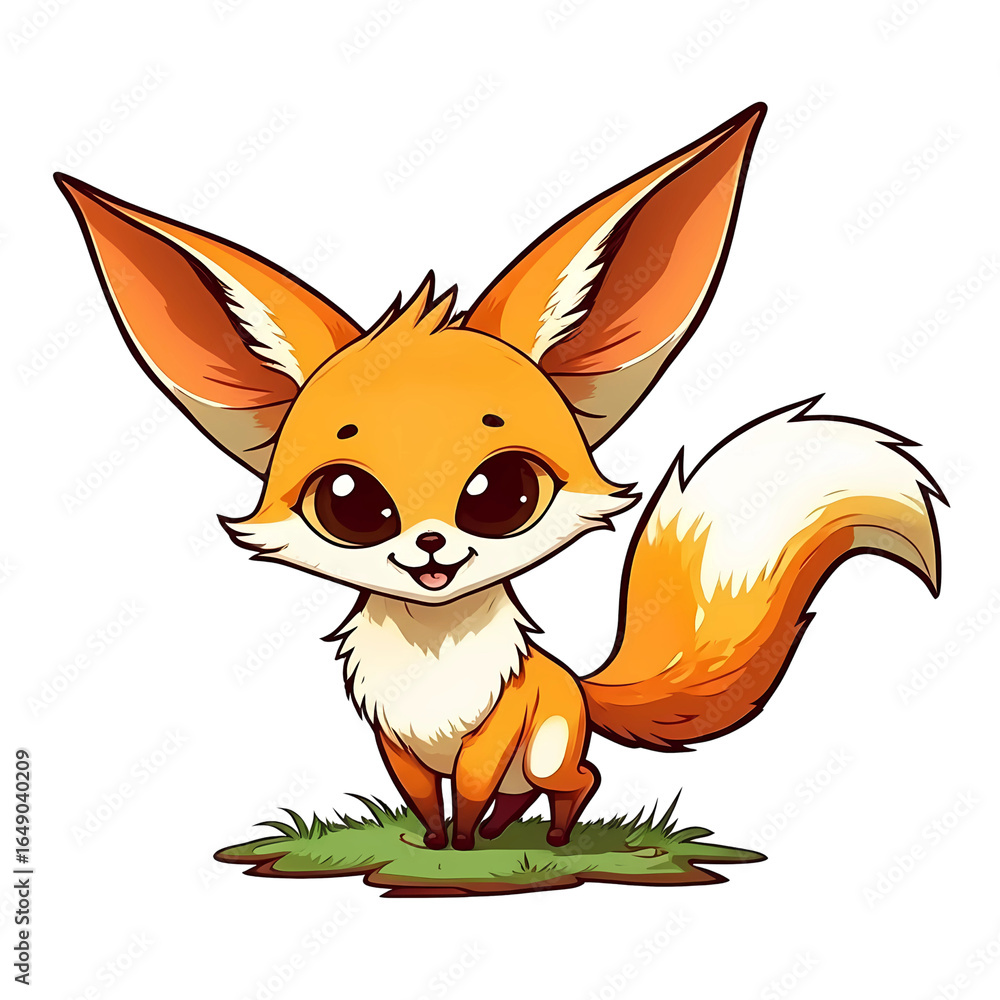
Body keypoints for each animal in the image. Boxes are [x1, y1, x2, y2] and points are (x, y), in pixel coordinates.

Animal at [56, 103, 943, 851]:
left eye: (504, 492)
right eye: (349, 503)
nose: (430, 548)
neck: (432, 662)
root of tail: (579, 685)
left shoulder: (496, 727)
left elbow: (474, 784)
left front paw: (459, 848)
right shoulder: (393, 739)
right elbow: (421, 795)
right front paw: (437, 845)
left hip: (546, 744)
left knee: (577, 778)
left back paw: (543, 839)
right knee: (532, 792)